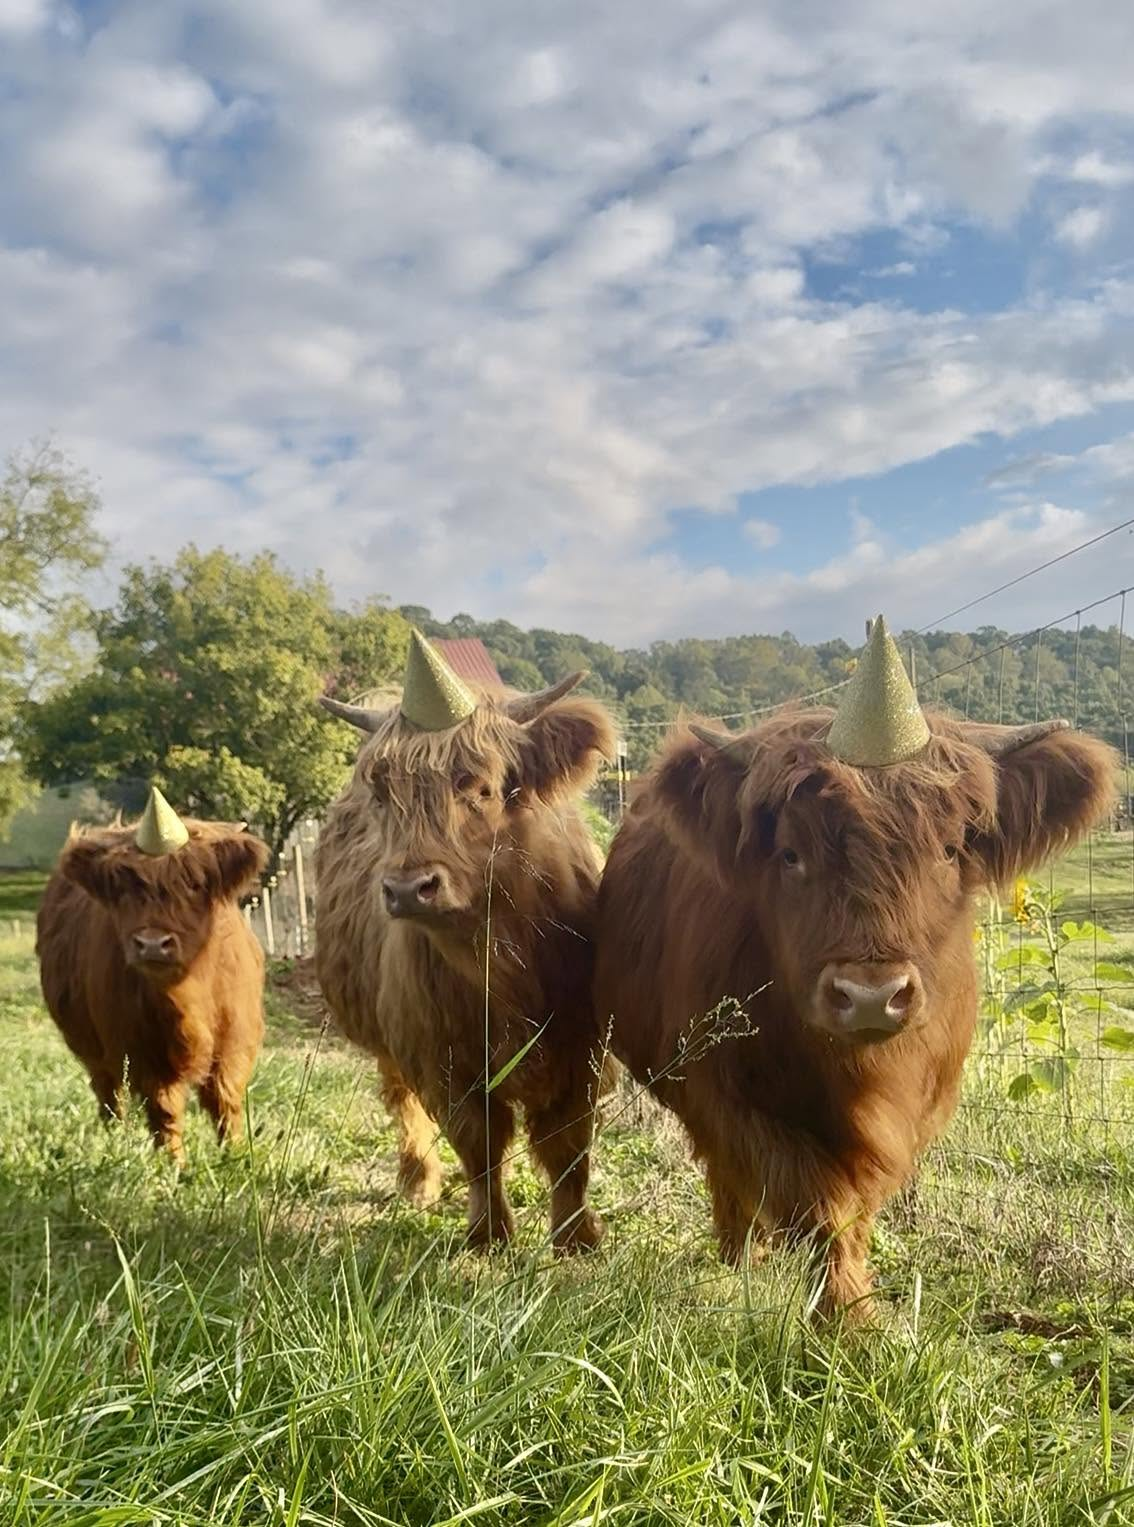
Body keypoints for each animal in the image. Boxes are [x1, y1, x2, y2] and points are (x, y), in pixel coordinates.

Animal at [36, 787, 270, 1163]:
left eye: (194, 884)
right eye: (122, 889)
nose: (152, 944)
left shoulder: (236, 1041)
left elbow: (226, 1100)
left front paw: (236, 1155)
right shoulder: (142, 1053)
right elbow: (165, 1111)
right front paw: (174, 1165)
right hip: (92, 1049)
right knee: (108, 1093)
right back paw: (114, 1137)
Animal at [315, 629, 616, 1254]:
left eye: (480, 786)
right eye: (383, 793)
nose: (409, 888)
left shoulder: (583, 1048)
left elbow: (568, 1146)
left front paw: (576, 1235)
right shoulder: (441, 1053)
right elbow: (478, 1143)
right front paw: (489, 1233)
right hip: (388, 1036)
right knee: (402, 1102)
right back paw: (417, 1180)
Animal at [595, 616, 1116, 1320]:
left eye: (949, 849)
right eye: (790, 854)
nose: (871, 996)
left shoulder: (918, 1106)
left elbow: (855, 1206)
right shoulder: (728, 1095)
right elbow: (815, 1201)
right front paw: (845, 1317)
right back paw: (740, 1255)